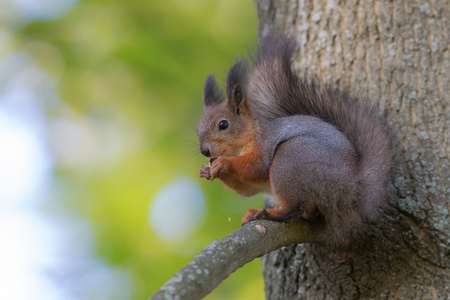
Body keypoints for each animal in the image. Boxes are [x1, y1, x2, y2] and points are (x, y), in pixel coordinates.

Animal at [196, 32, 390, 246]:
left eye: (223, 124)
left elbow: (256, 167)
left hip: (290, 160)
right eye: (198, 128)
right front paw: (206, 170)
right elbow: (248, 188)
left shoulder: (264, 143)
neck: (243, 141)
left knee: (294, 208)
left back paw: (267, 213)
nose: (204, 151)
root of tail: (354, 188)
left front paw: (222, 163)